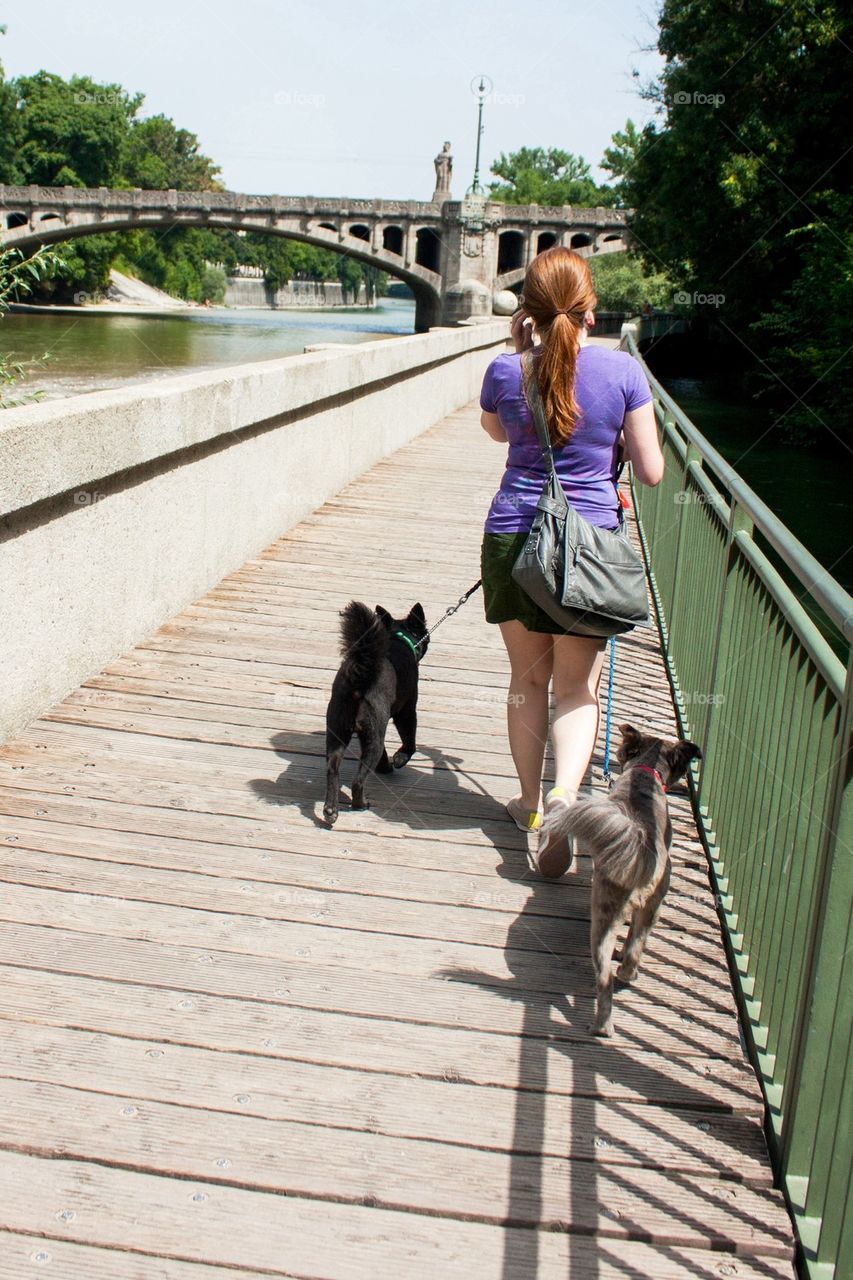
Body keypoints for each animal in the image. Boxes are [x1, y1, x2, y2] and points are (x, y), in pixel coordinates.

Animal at [320, 601, 425, 824]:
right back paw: (360, 804)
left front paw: (385, 766)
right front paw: (399, 759)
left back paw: (331, 810)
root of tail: (360, 678)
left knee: (332, 769)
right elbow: (409, 741)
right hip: (373, 736)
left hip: (337, 729)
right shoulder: (407, 711)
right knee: (358, 781)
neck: (399, 638)